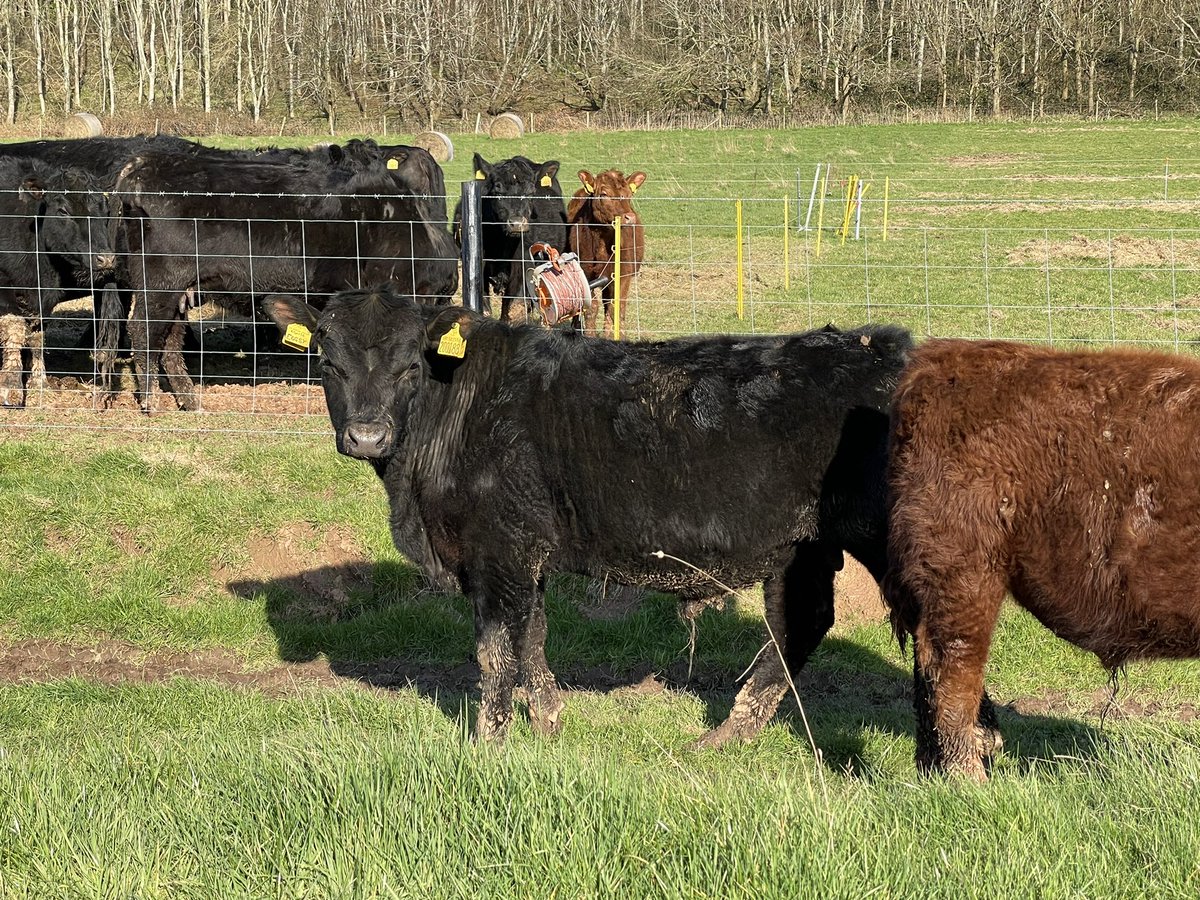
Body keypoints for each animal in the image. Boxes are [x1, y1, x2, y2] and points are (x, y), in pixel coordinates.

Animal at [0, 157, 116, 407]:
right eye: (63, 210)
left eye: (105, 209)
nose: (106, 259)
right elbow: (15, 329)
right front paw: (11, 386)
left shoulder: (44, 296)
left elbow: (37, 334)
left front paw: (39, 380)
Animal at [113, 148, 459, 412]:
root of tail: (142, 164)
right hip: (160, 282)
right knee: (144, 330)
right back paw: (151, 402)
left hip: (181, 290)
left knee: (170, 340)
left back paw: (190, 401)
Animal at [263, 285, 914, 746]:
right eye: (329, 363)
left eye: (410, 367)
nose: (367, 435)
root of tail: (883, 346)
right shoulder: (525, 551)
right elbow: (532, 637)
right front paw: (548, 719)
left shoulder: (499, 548)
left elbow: (496, 649)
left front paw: (487, 744)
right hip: (801, 547)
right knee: (798, 626)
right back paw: (727, 735)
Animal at [567, 169, 646, 337]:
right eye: (604, 194)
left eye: (629, 194)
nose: (630, 218)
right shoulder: (586, 273)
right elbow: (591, 308)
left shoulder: (623, 274)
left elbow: (616, 308)